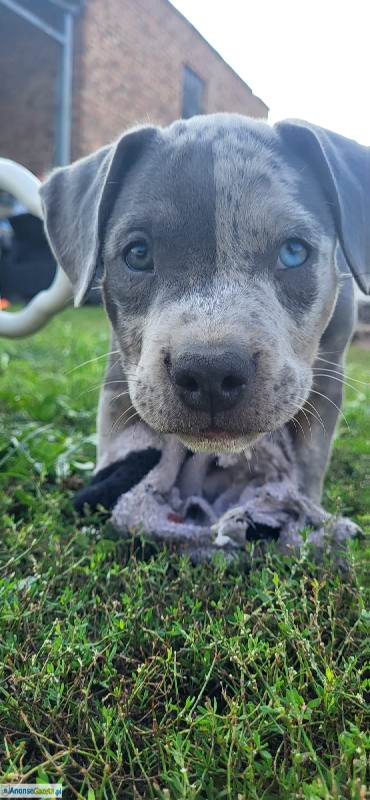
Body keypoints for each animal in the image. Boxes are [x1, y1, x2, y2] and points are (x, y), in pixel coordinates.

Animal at [39, 113, 368, 504]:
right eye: (138, 254)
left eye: (293, 252)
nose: (210, 373)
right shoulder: (122, 365)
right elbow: (115, 426)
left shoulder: (328, 377)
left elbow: (311, 454)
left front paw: (304, 503)